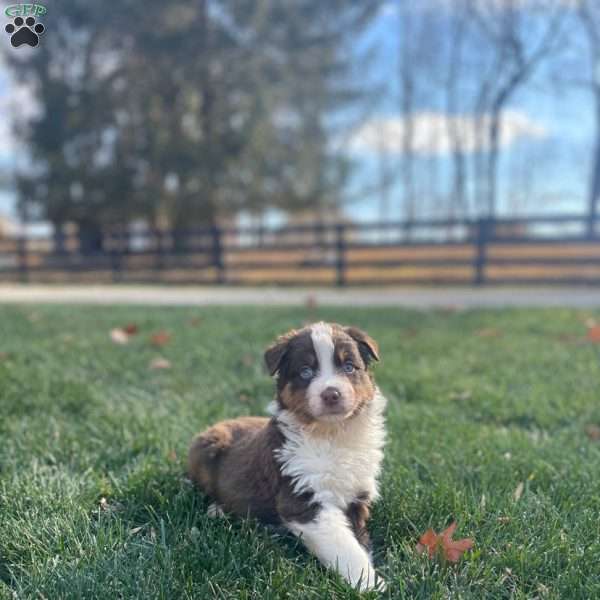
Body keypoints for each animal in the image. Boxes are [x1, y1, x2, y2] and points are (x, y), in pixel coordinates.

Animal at [188, 324, 386, 592]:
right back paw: (217, 509)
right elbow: (344, 547)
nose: (331, 394)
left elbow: (358, 541)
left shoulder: (357, 497)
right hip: (204, 449)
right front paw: (370, 584)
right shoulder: (302, 498)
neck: (331, 435)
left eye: (348, 367)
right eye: (305, 372)